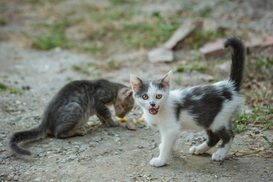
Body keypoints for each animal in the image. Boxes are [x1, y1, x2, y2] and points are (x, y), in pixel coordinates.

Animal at [130, 36, 244, 167]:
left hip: (220, 119)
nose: (152, 104)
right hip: (208, 118)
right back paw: (199, 149)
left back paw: (220, 154)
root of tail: (229, 86)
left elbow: (167, 145)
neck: (159, 111)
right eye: (145, 97)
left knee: (229, 136)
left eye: (158, 96)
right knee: (214, 138)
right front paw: (162, 149)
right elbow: (165, 143)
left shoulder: (171, 129)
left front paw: (160, 160)